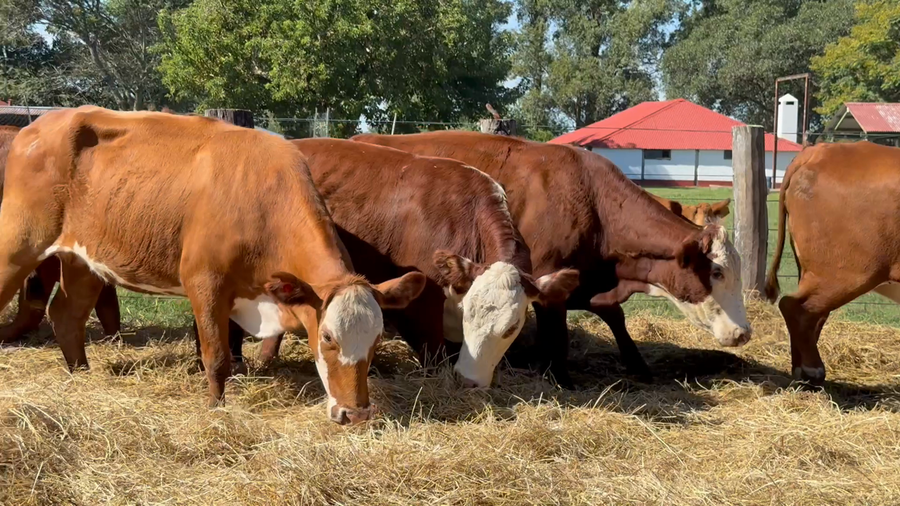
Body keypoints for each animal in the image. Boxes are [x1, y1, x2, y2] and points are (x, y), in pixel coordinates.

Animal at [352, 131, 751, 387]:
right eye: (716, 272)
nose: (743, 333)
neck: (591, 201)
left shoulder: (589, 282)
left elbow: (616, 319)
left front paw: (638, 366)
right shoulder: (549, 288)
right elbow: (557, 338)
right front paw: (560, 380)